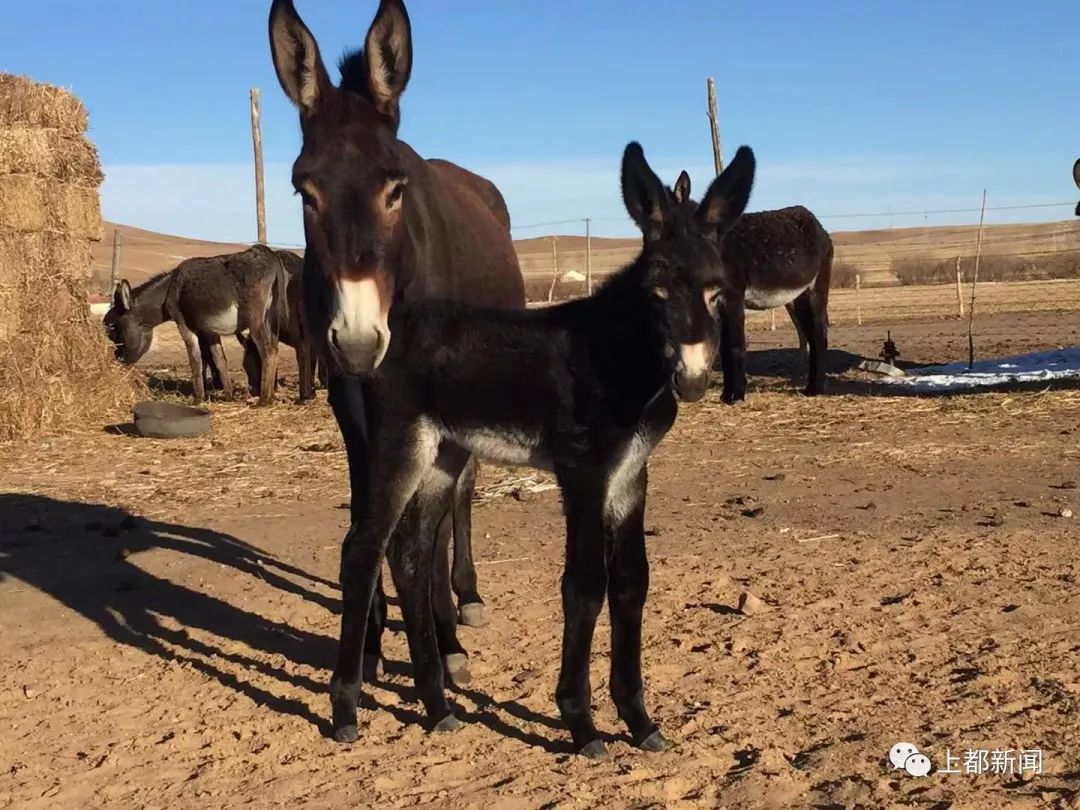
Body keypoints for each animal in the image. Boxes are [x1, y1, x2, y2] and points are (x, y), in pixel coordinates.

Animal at [332, 141, 756, 760]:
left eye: (717, 291)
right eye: (656, 293)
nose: (695, 380)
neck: (619, 355)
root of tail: (387, 330)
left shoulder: (631, 475)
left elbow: (632, 581)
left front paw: (639, 719)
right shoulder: (584, 472)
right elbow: (584, 585)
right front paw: (581, 723)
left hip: (443, 456)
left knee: (408, 556)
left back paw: (437, 706)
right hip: (399, 445)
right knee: (362, 551)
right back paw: (344, 709)